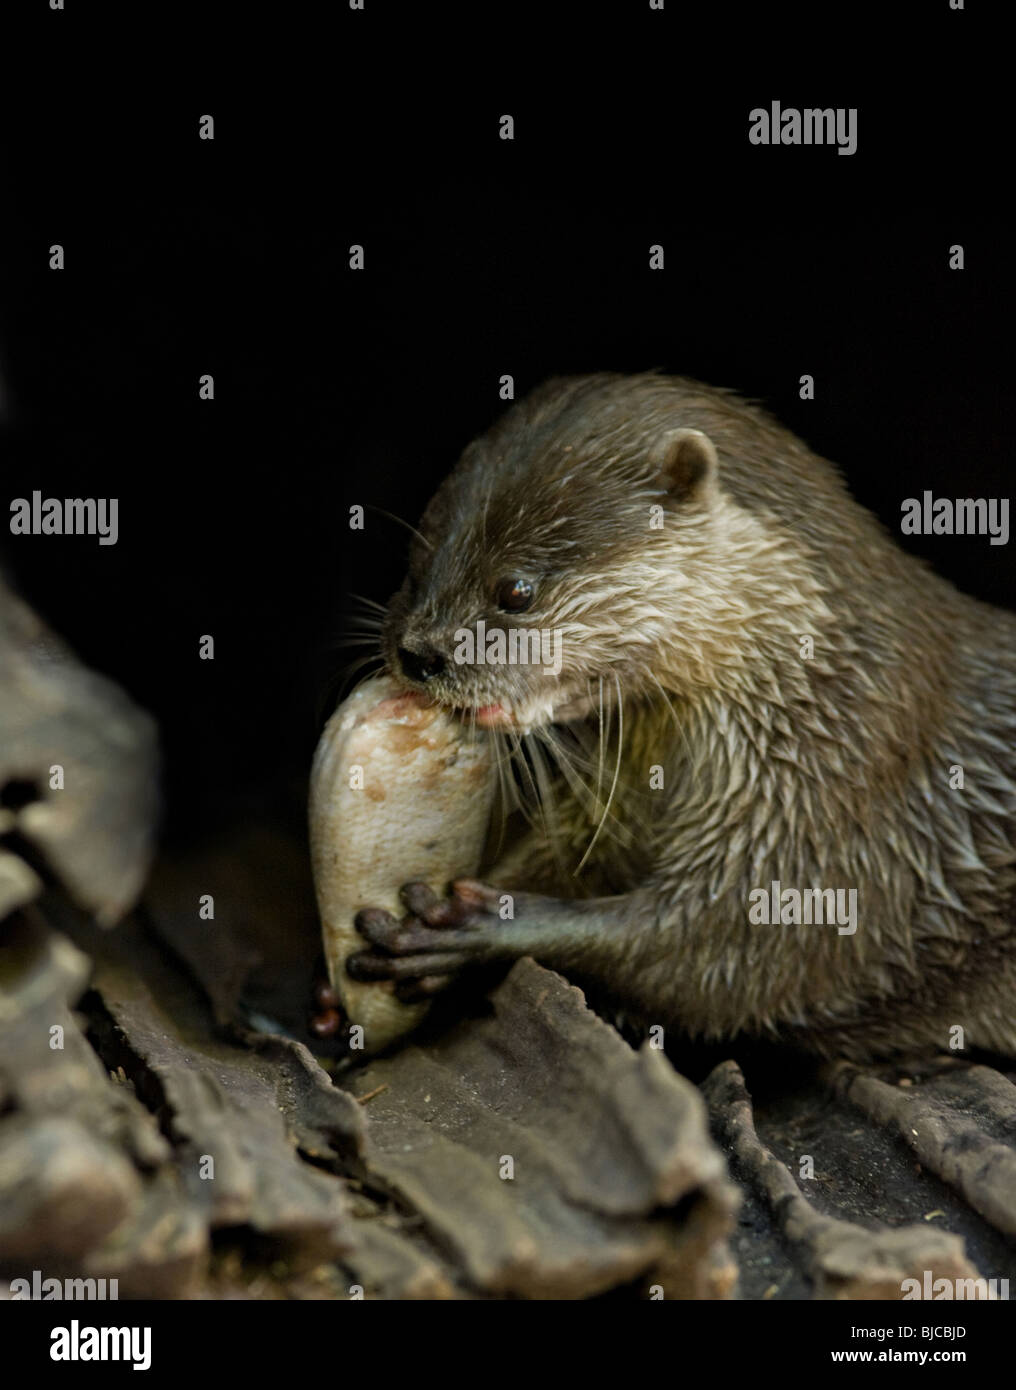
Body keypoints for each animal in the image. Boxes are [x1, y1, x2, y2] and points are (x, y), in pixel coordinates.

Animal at [346, 375, 1011, 1056]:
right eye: (414, 566)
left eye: (516, 591)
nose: (418, 652)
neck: (825, 696)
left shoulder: (836, 818)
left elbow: (726, 955)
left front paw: (478, 927)